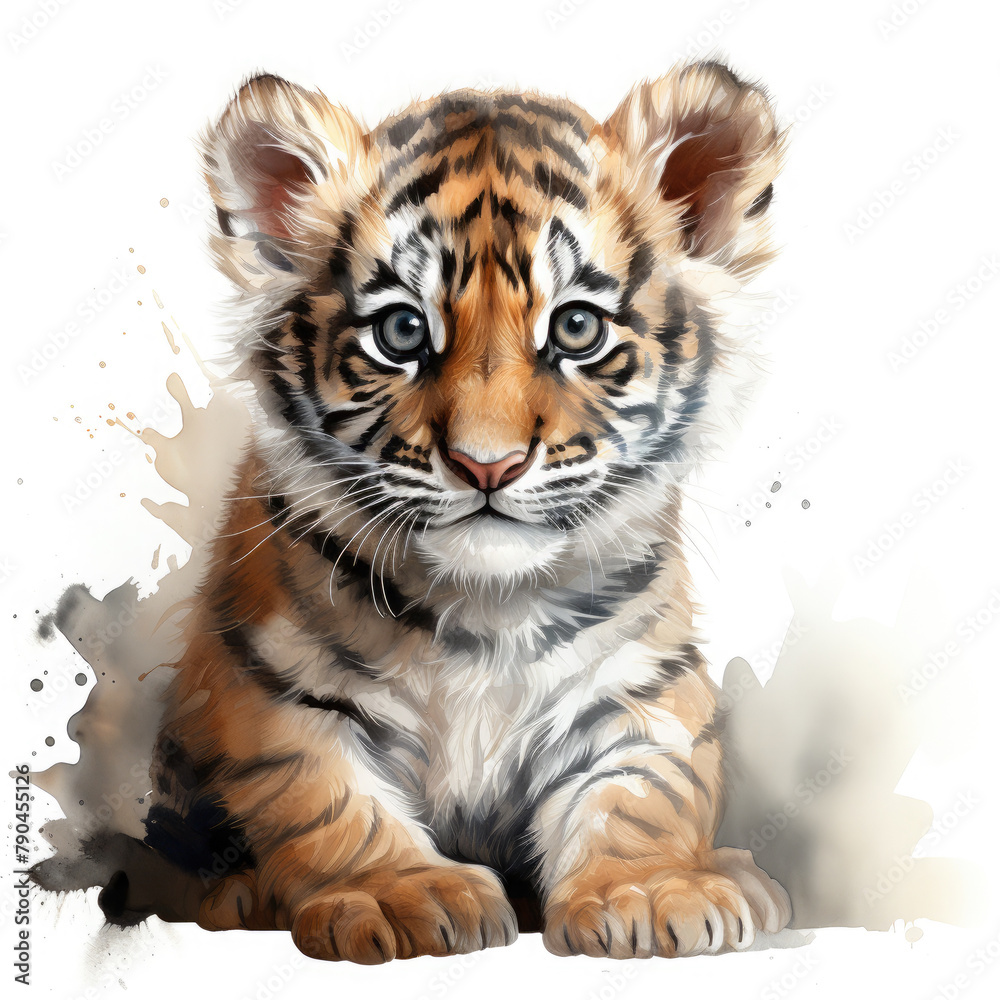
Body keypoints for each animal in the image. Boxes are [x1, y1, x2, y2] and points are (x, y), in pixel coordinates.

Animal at [145, 59, 792, 963]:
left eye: (578, 328)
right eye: (401, 331)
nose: (488, 464)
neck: (490, 608)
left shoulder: (637, 688)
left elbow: (645, 791)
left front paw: (653, 890)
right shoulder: (276, 691)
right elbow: (329, 800)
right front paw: (398, 895)